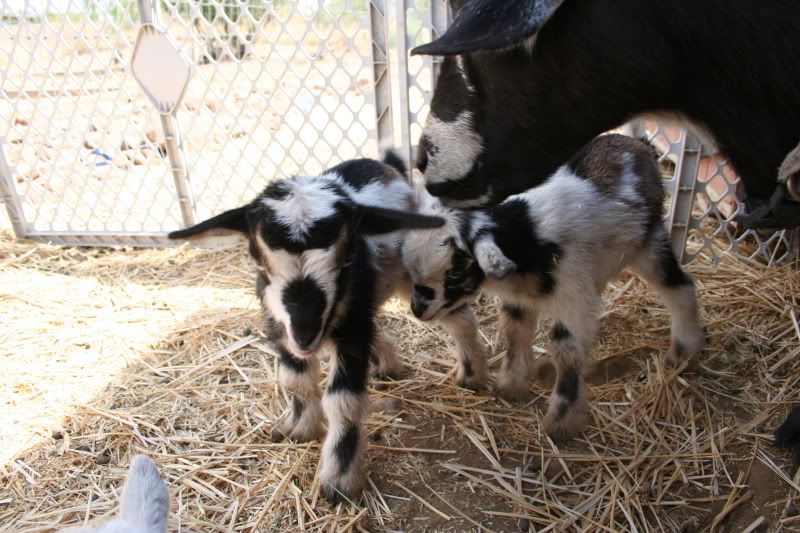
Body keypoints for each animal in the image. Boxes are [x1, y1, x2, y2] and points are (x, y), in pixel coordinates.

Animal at [168, 153, 459, 501]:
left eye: (347, 256)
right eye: (259, 260)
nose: (306, 334)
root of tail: (383, 164)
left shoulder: (351, 331)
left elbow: (344, 400)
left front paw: (340, 479)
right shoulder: (280, 327)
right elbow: (295, 380)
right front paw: (300, 428)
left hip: (412, 283)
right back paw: (387, 364)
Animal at [402, 134, 705, 439]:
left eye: (455, 271)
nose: (417, 310)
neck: (527, 234)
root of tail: (638, 144)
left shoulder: (572, 296)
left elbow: (565, 347)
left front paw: (561, 423)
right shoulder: (522, 296)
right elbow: (514, 329)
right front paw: (511, 385)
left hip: (648, 241)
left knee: (680, 286)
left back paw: (682, 353)